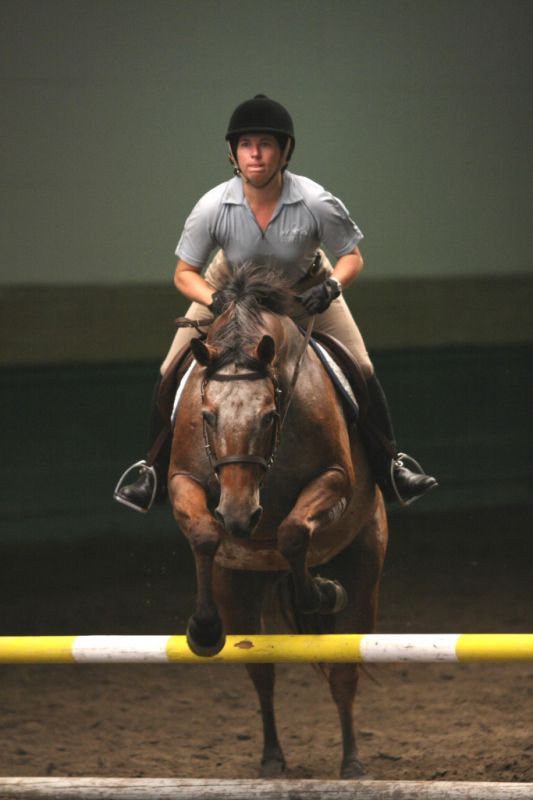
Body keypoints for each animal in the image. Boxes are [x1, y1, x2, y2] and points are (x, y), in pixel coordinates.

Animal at [168, 265, 388, 779]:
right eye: (207, 415)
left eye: (269, 416)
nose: (239, 515)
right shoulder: (182, 480)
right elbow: (204, 533)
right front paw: (202, 629)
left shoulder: (335, 479)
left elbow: (291, 532)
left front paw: (321, 594)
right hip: (239, 587)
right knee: (260, 672)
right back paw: (271, 758)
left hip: (364, 565)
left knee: (343, 668)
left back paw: (352, 761)